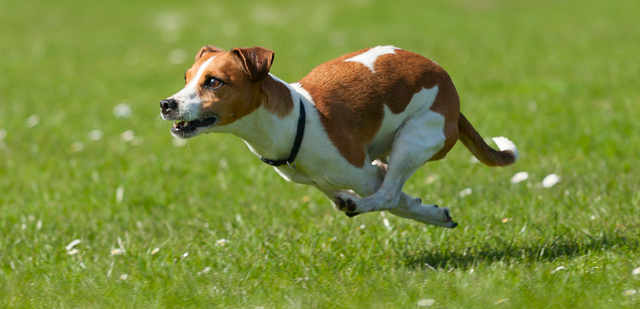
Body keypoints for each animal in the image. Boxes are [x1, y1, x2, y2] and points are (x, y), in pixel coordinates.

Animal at [160, 45, 520, 226]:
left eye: (213, 82)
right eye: (187, 77)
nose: (166, 104)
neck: (296, 121)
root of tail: (453, 99)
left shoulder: (364, 175)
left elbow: (391, 197)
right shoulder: (333, 179)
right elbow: (403, 202)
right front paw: (433, 213)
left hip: (413, 139)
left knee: (388, 195)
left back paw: (357, 204)